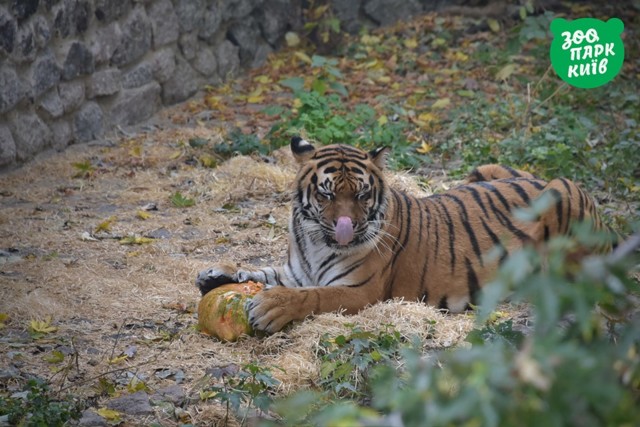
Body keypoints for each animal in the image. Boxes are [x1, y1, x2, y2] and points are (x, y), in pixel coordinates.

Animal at [196, 137, 616, 334]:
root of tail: (540, 178)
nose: (347, 229)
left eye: (361, 195)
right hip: (487, 168)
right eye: (327, 195)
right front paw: (217, 273)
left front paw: (272, 307)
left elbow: (313, 296)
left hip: (564, 192)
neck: (316, 240)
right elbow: (261, 271)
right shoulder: (297, 270)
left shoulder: (360, 291)